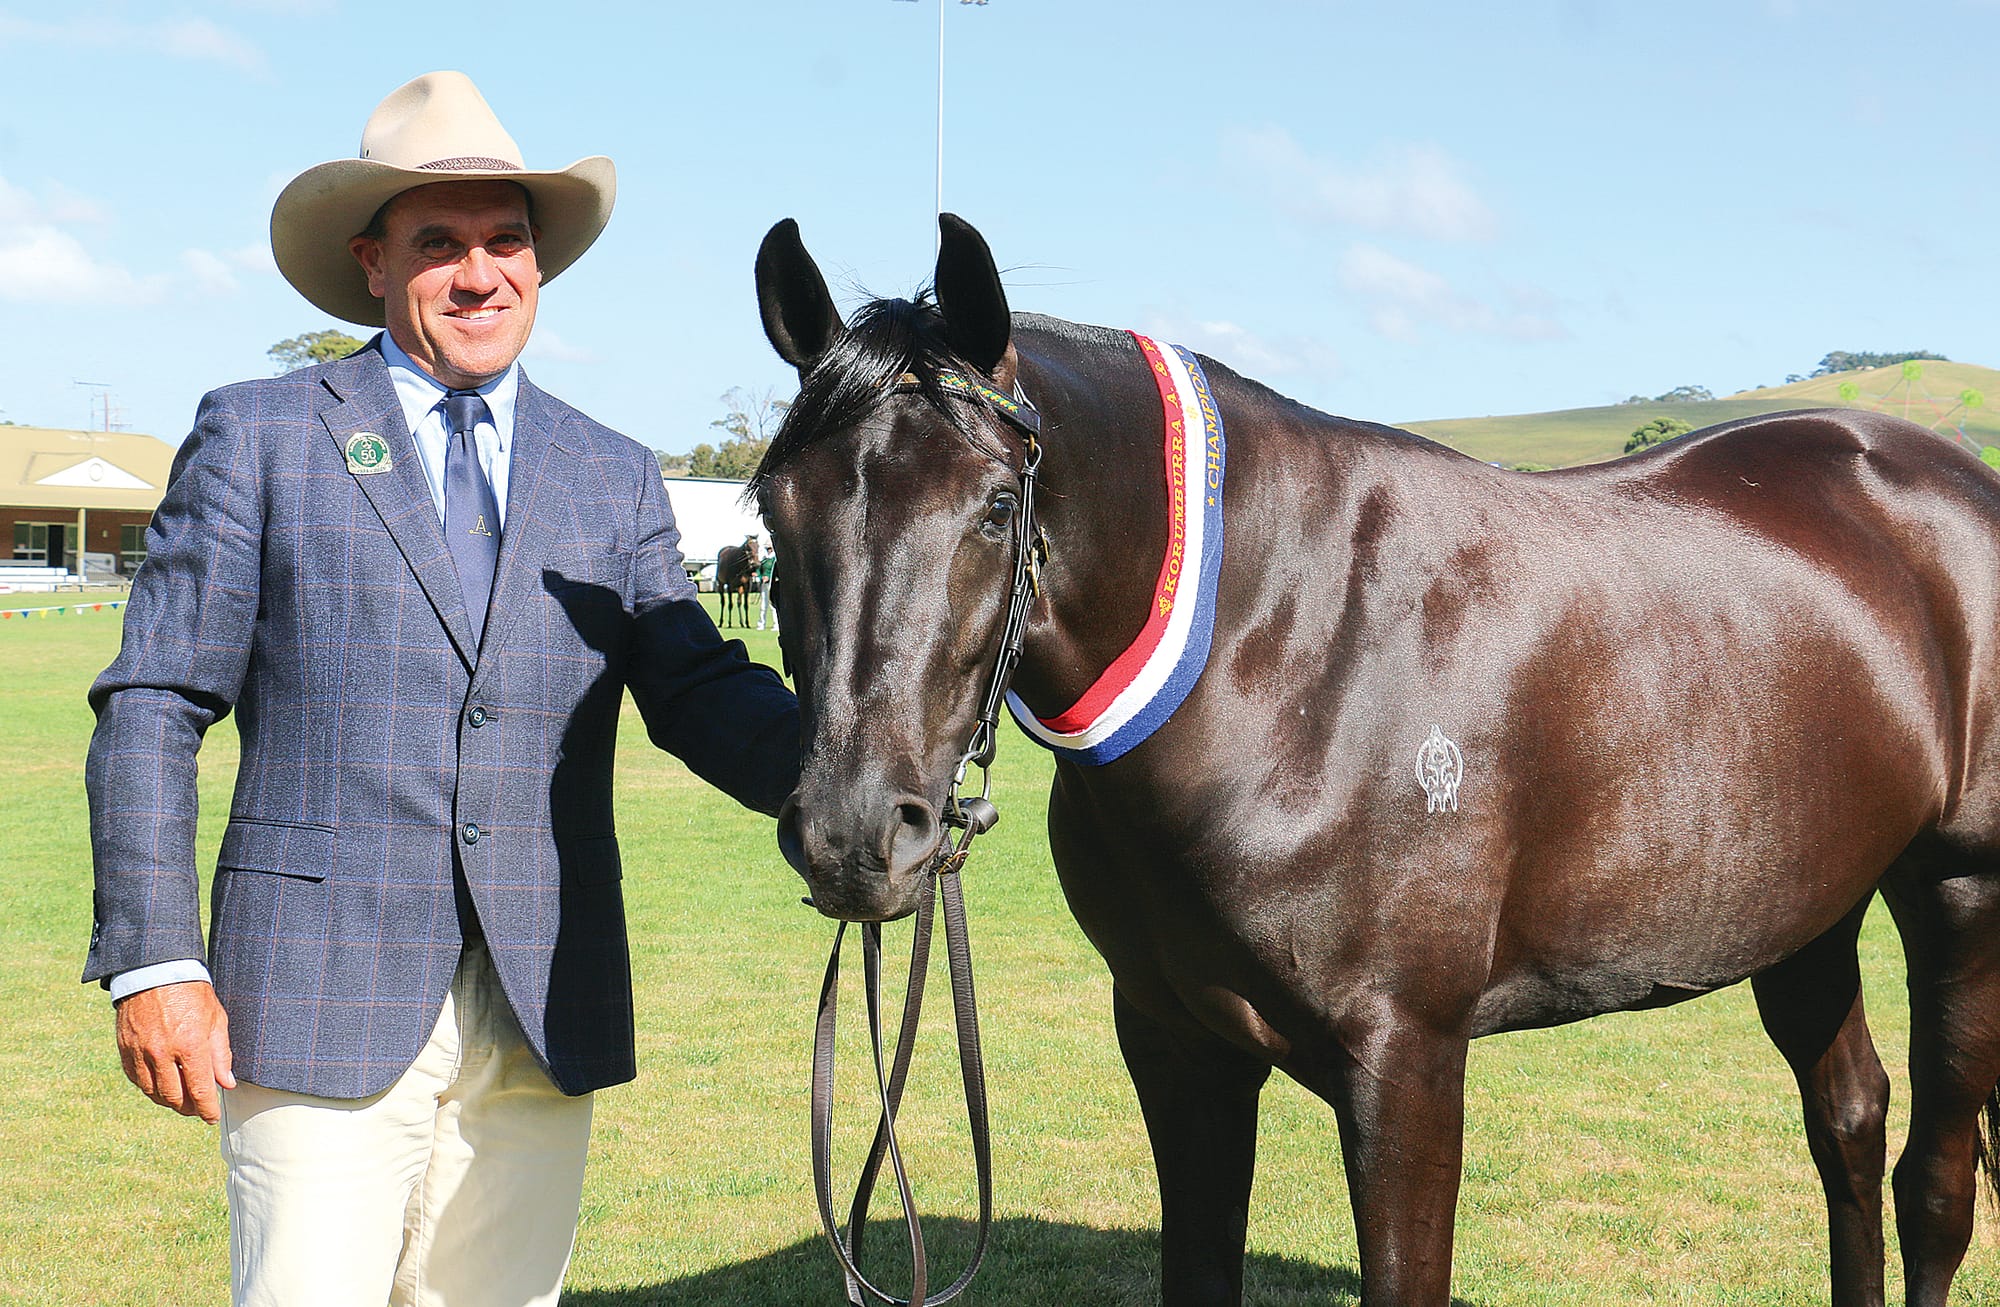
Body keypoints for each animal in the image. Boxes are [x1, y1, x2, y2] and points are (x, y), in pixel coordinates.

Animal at [749, 213, 2000, 1307]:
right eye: (773, 507)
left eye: (995, 506)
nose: (855, 833)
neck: (1282, 651)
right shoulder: (1177, 1043)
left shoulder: (1404, 1064)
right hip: (1802, 904)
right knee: (1847, 1124)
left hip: (1955, 892)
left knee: (1930, 1183)